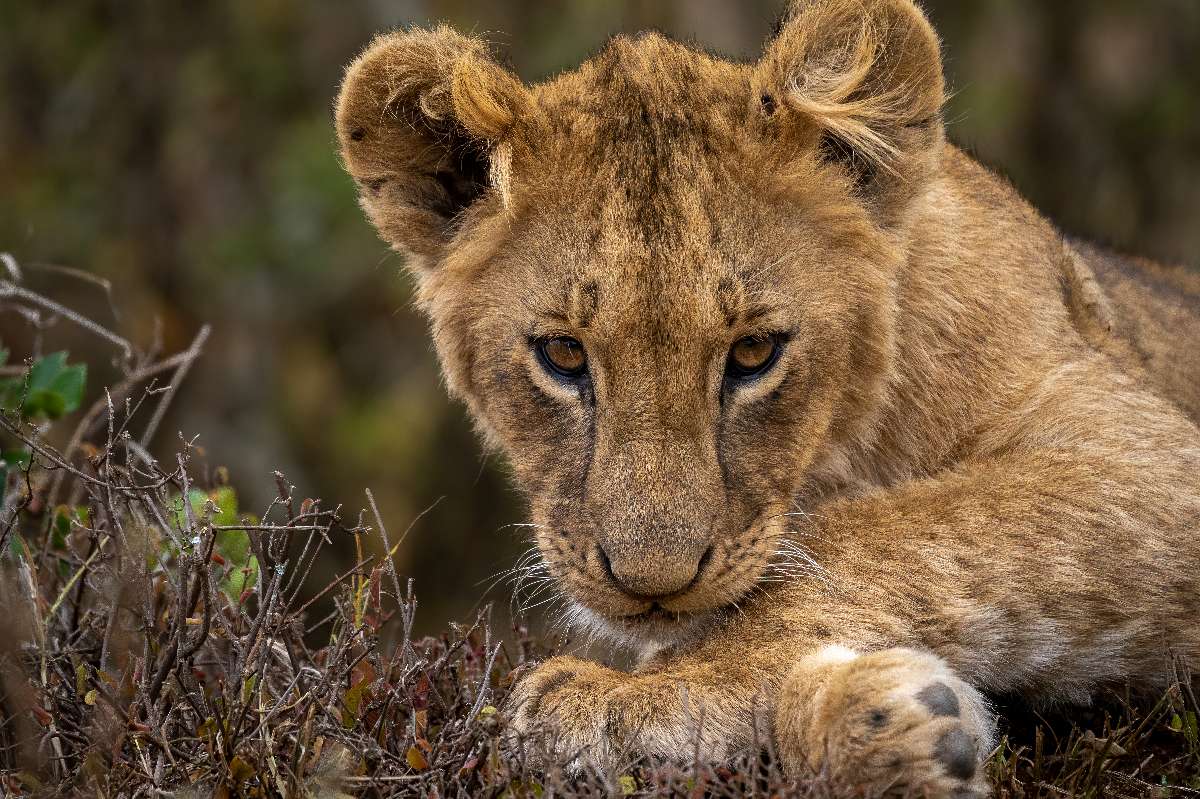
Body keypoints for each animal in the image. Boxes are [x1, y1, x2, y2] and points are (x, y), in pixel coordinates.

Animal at [334, 0, 1200, 795]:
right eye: (563, 353)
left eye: (754, 353)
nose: (655, 585)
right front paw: (874, 723)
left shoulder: (1148, 462)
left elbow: (879, 533)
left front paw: (625, 696)